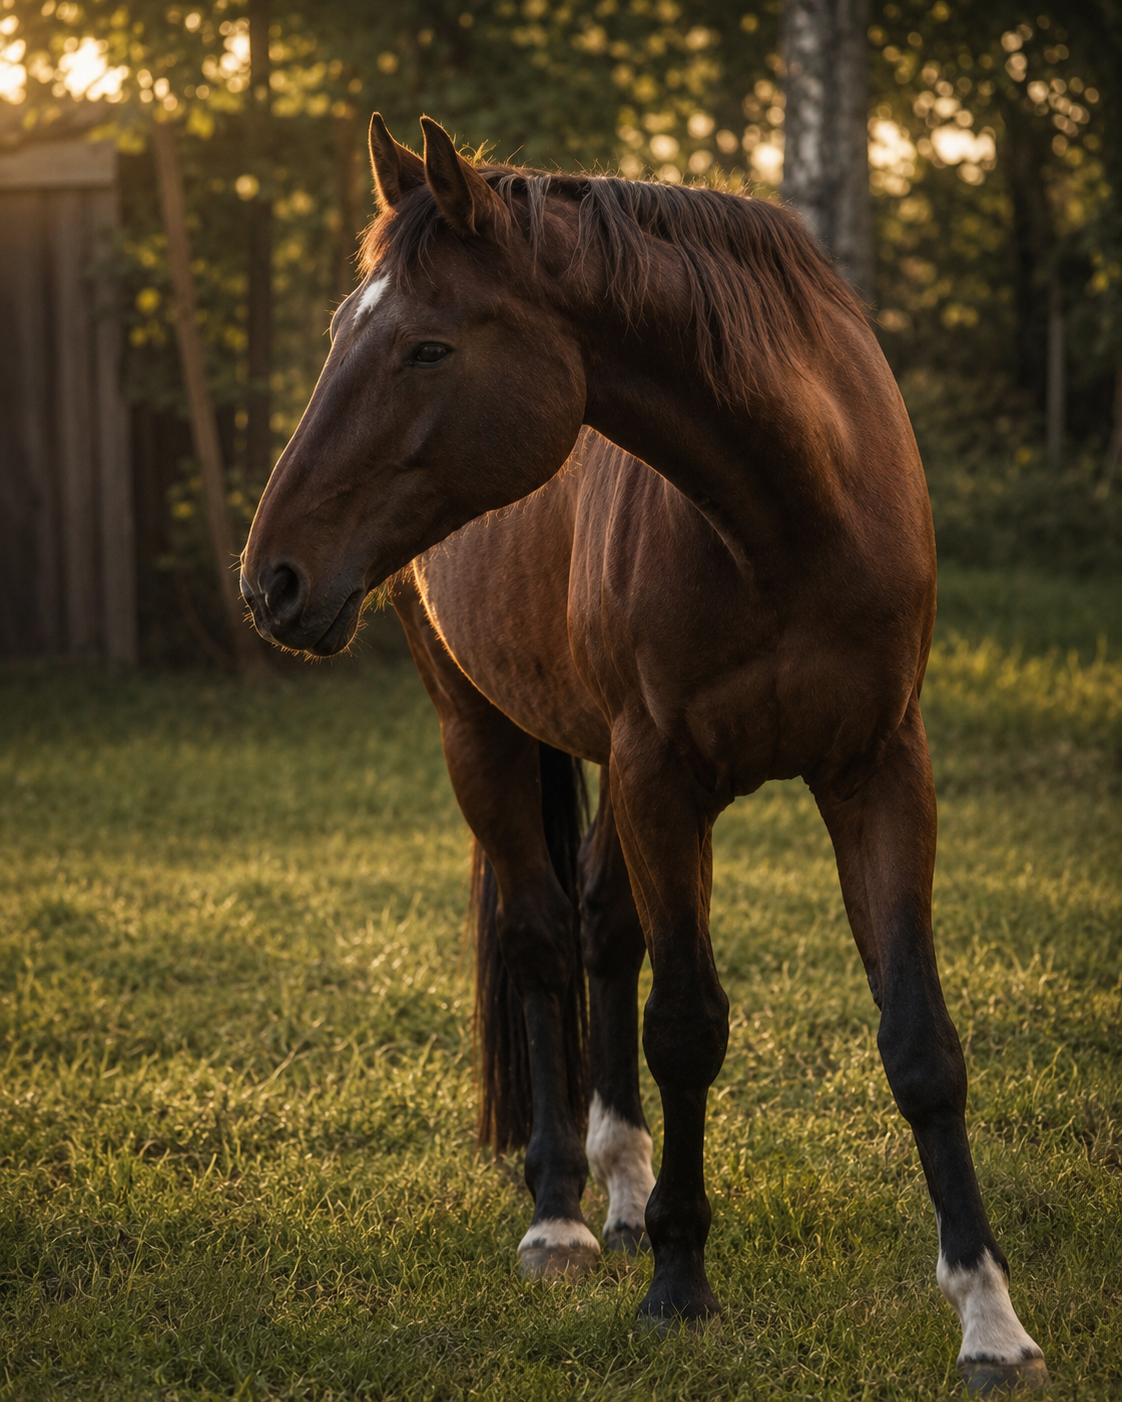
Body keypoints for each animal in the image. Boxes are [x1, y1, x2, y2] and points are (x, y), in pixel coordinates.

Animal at [240, 114, 1049, 1392]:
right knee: (540, 938)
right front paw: (680, 1280)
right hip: (480, 730)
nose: (270, 576)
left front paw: (989, 1316)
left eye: (427, 347)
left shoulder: (879, 771)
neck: (789, 515)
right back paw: (563, 1214)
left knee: (601, 927)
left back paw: (620, 1189)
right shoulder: (668, 780)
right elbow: (689, 1026)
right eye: (338, 336)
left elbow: (920, 1042)